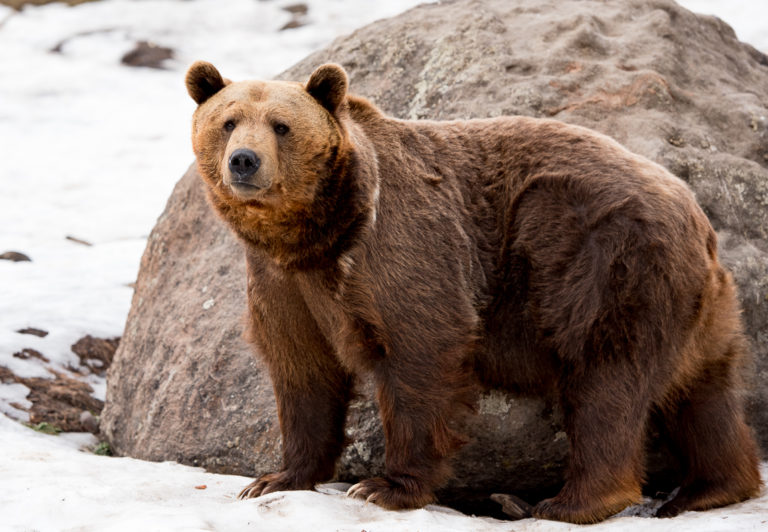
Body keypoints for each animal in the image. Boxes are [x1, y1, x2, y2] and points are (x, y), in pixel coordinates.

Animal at [184, 61, 761, 524]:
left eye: (281, 126)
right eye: (227, 121)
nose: (244, 160)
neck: (317, 236)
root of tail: (695, 213)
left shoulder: (403, 247)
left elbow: (422, 352)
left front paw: (383, 486)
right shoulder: (283, 283)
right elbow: (303, 371)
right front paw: (275, 478)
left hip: (603, 265)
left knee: (605, 380)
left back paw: (572, 502)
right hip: (700, 305)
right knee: (703, 392)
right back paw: (712, 487)